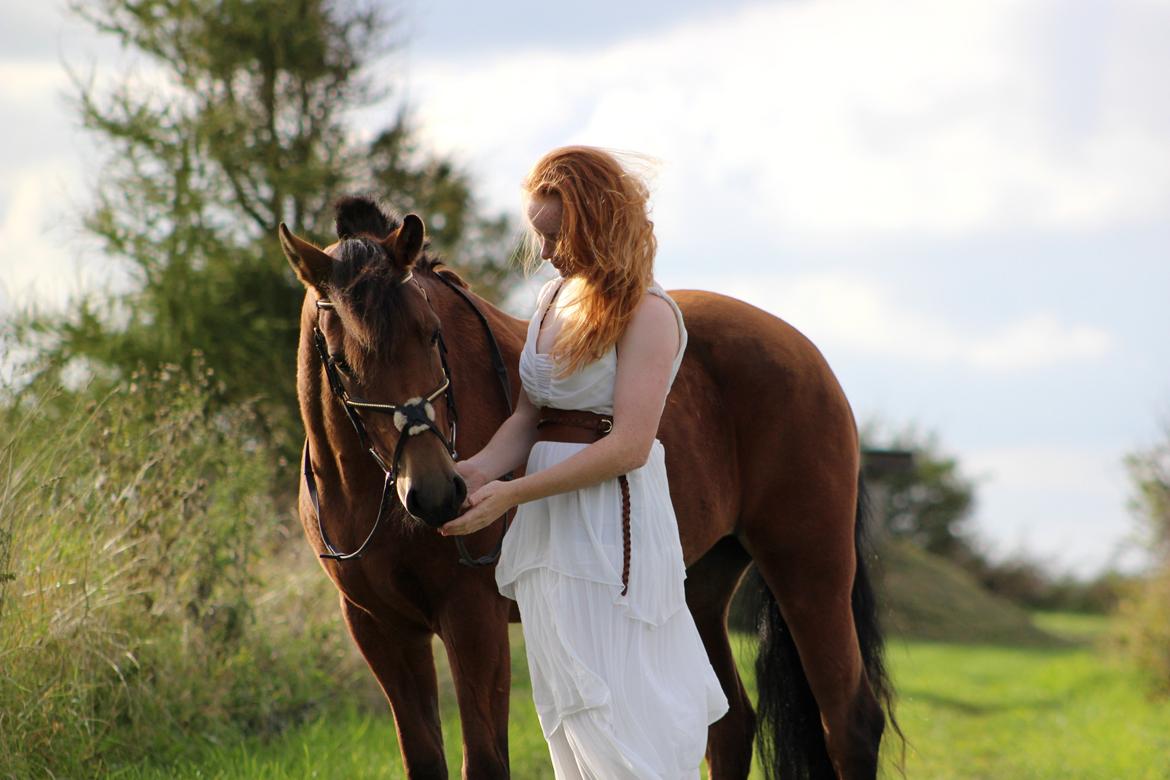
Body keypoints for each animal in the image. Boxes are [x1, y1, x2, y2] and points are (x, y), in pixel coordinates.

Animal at [278, 195, 896, 780]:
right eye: (341, 362)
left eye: (431, 336)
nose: (436, 494)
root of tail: (808, 355)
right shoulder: (381, 630)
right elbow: (425, 761)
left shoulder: (472, 618)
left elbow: (485, 762)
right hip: (698, 590)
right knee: (729, 726)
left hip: (809, 573)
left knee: (849, 725)